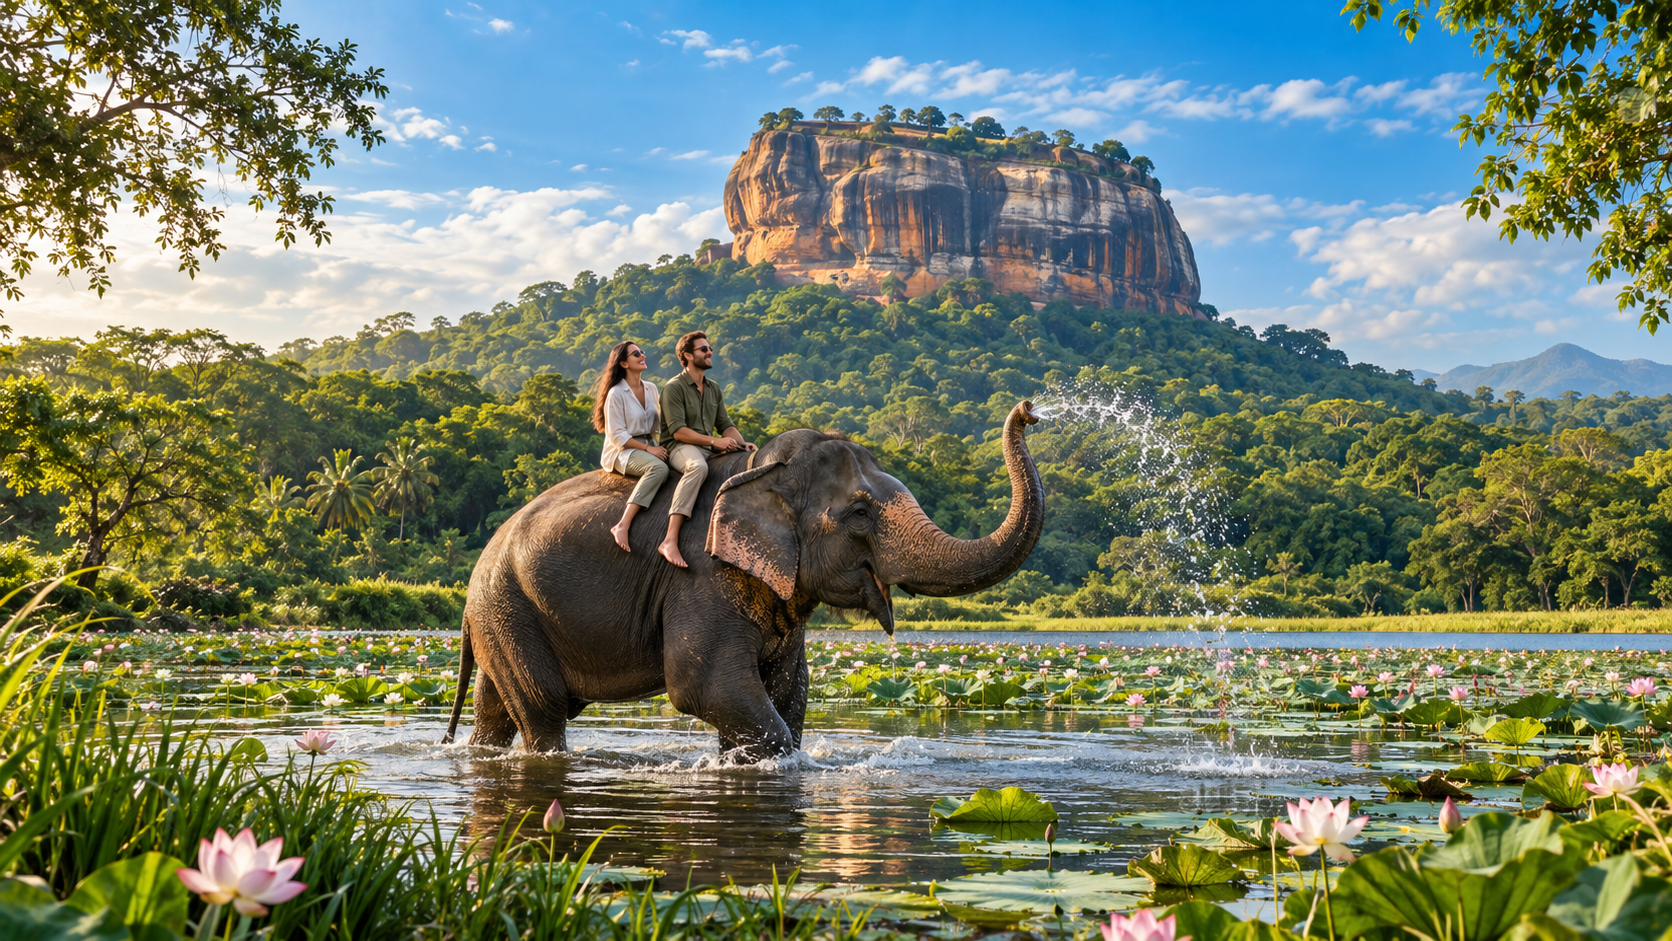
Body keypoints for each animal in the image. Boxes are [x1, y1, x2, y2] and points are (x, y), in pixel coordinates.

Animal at [443, 400, 1044, 760]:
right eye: (859, 514)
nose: (1029, 410)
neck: (762, 470)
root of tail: (469, 599)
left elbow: (789, 692)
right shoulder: (701, 575)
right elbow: (705, 685)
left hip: (505, 619)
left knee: (496, 712)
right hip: (509, 610)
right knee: (543, 712)